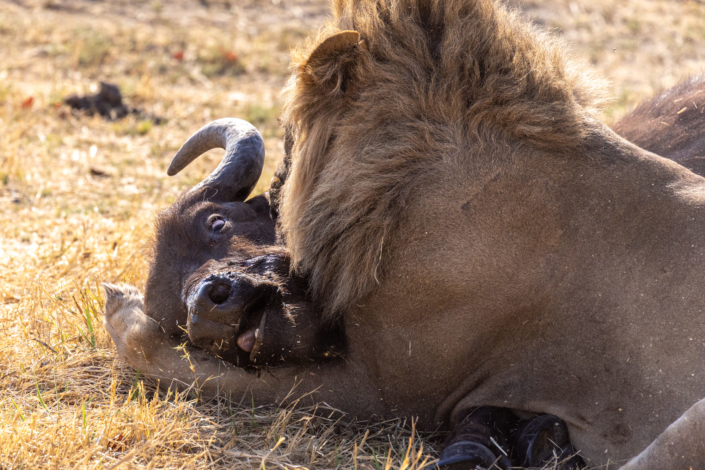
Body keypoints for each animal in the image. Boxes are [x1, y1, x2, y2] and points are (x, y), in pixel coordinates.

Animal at [103, 1, 704, 468]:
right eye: (180, 321)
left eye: (217, 223)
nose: (208, 307)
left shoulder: (385, 390)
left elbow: (178, 368)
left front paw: (120, 304)